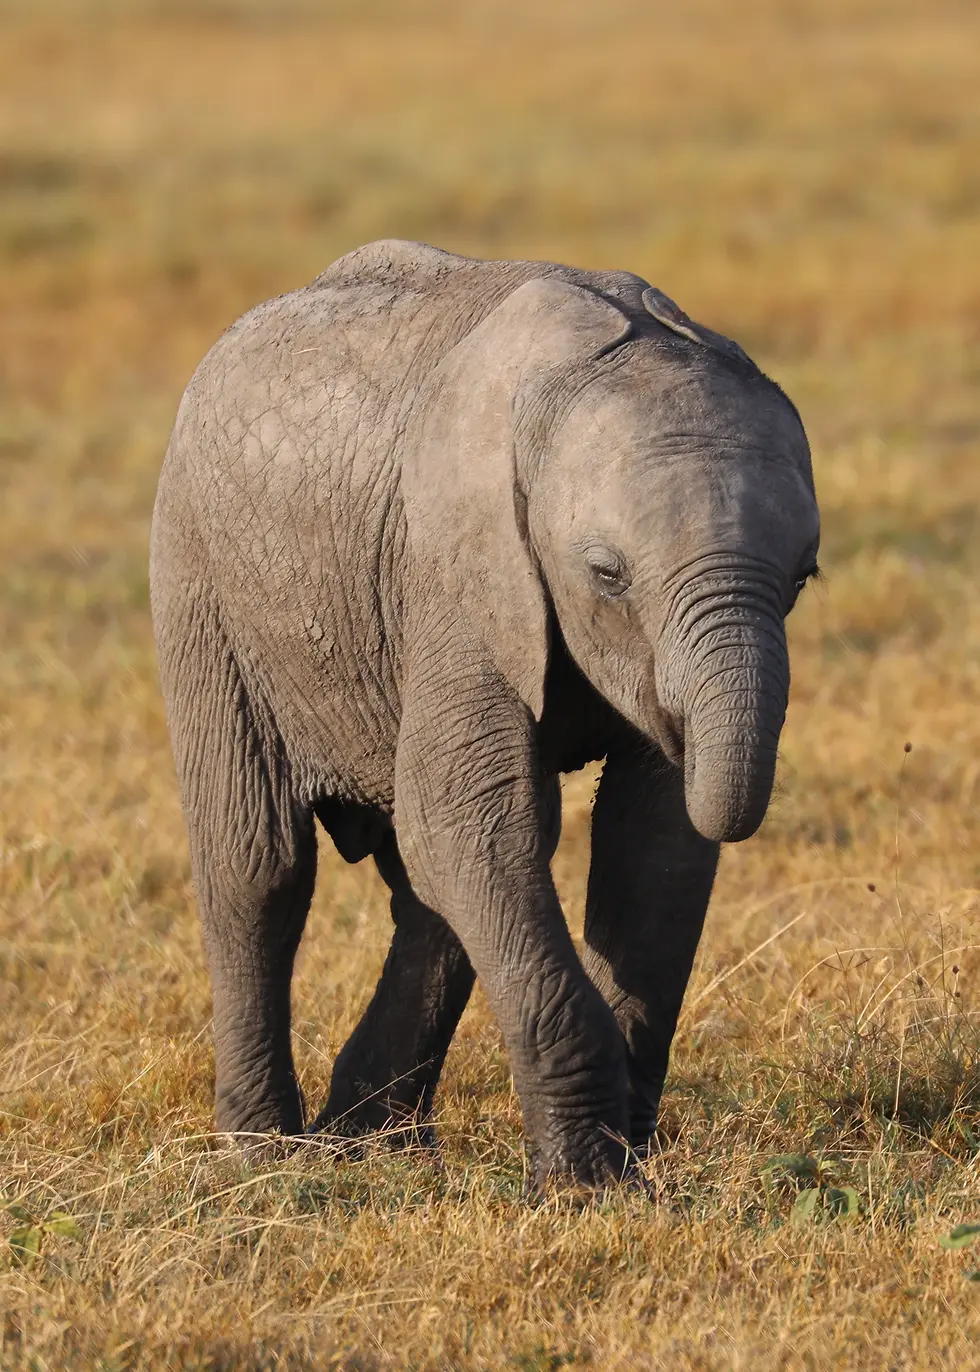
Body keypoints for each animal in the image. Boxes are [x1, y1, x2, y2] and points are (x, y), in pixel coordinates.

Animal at [150, 238, 819, 1190]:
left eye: (803, 575)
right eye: (607, 574)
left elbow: (650, 844)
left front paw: (623, 1168)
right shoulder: (456, 570)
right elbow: (468, 819)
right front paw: (583, 1190)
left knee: (429, 887)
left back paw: (369, 1143)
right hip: (199, 580)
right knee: (258, 864)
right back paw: (267, 1156)